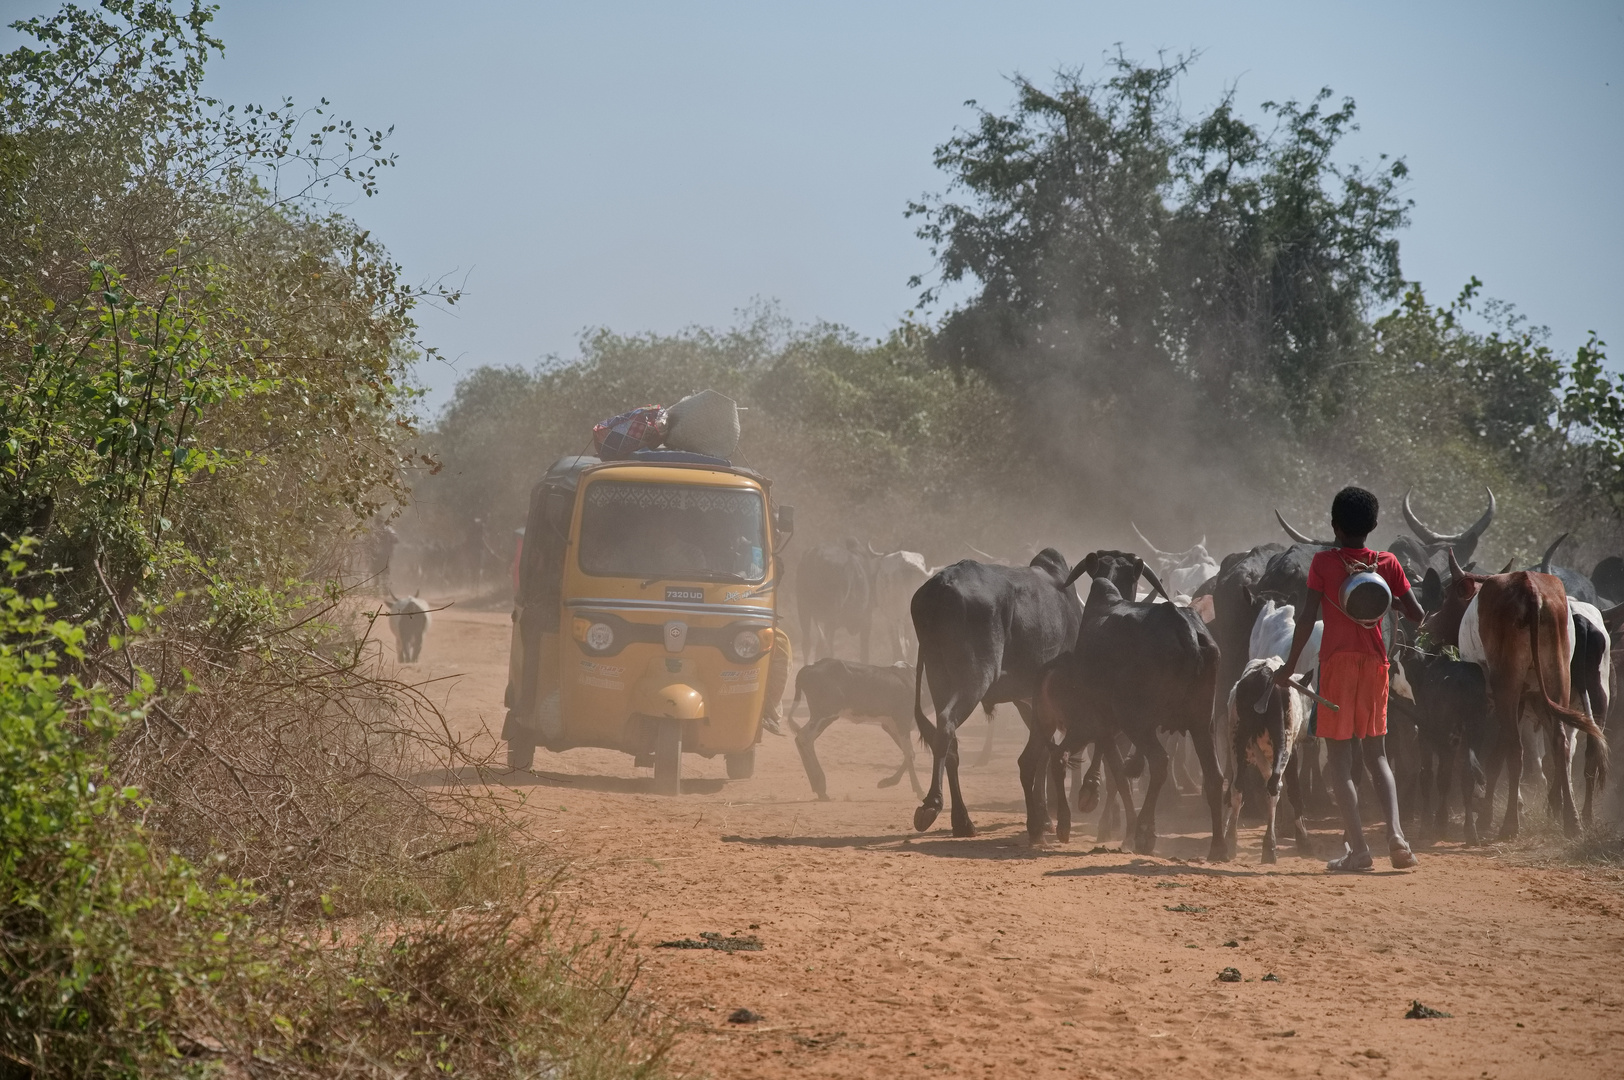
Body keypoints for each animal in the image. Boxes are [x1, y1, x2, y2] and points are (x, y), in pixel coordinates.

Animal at [789, 656, 928, 799]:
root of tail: (809, 667)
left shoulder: (891, 726)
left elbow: (909, 753)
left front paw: (887, 782)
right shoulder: (903, 721)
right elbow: (909, 753)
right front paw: (919, 790)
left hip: (824, 717)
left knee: (802, 738)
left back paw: (819, 788)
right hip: (825, 714)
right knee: (804, 737)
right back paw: (820, 786)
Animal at [915, 552, 1078, 838]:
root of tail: (942, 584)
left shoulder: (1029, 702)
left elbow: (1042, 751)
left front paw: (1043, 815)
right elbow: (1043, 753)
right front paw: (1044, 818)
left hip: (938, 677)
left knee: (950, 743)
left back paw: (962, 820)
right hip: (975, 678)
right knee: (946, 725)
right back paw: (933, 803)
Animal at [1032, 571, 1221, 857]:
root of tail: (1187, 633)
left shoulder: (1100, 726)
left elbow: (1114, 773)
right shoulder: (1104, 729)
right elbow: (1115, 772)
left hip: (1137, 723)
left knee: (1159, 762)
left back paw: (1143, 832)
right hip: (1201, 724)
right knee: (1214, 777)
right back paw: (1220, 846)